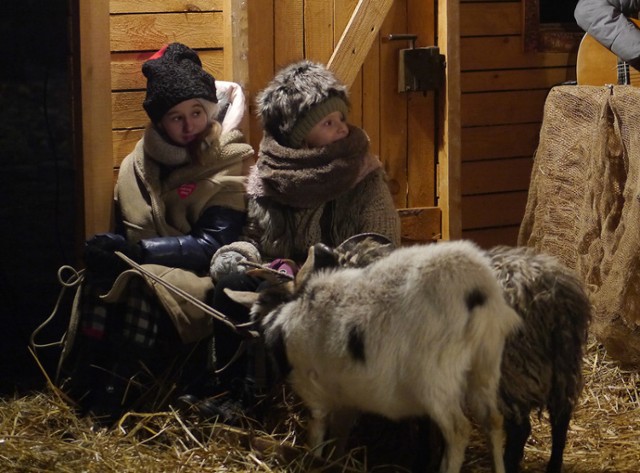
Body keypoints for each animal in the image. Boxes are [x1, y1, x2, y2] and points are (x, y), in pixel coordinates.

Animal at [230, 240, 520, 472]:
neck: (284, 315)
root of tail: (476, 291)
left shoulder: (314, 394)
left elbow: (316, 437)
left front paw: (314, 460)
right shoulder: (346, 398)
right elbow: (340, 436)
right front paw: (335, 461)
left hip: (436, 379)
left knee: (459, 431)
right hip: (486, 364)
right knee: (493, 421)